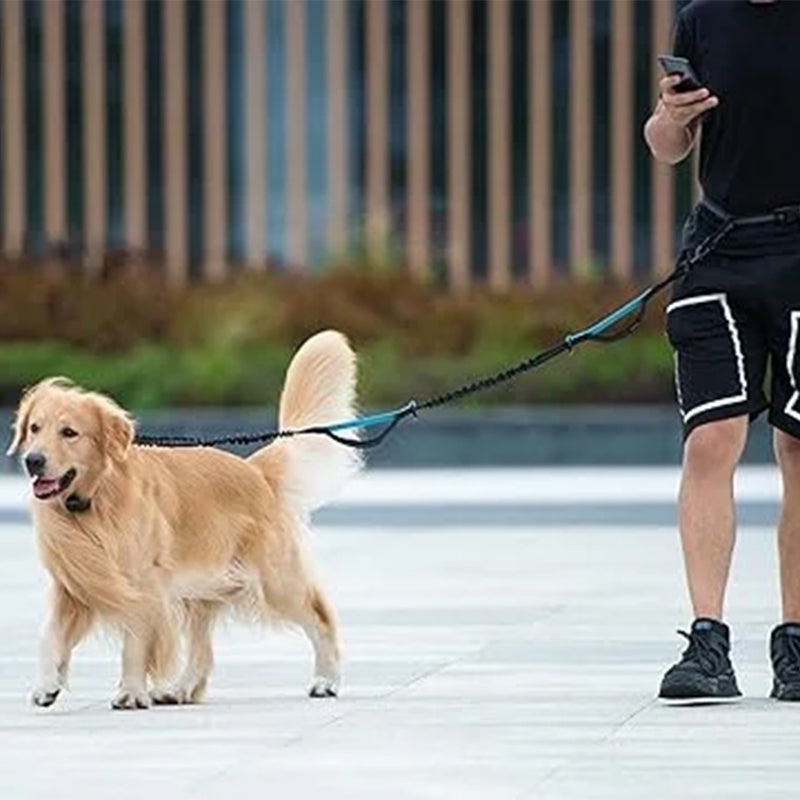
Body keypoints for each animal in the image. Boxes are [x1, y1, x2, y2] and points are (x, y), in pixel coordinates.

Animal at [5, 328, 362, 708]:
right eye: (34, 428)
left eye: (69, 432)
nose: (32, 460)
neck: (95, 500)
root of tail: (255, 472)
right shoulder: (74, 584)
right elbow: (50, 637)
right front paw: (47, 685)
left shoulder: (142, 585)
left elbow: (135, 643)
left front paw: (131, 692)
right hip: (198, 586)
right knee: (202, 649)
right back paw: (181, 688)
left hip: (275, 579)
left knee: (320, 619)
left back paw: (326, 680)